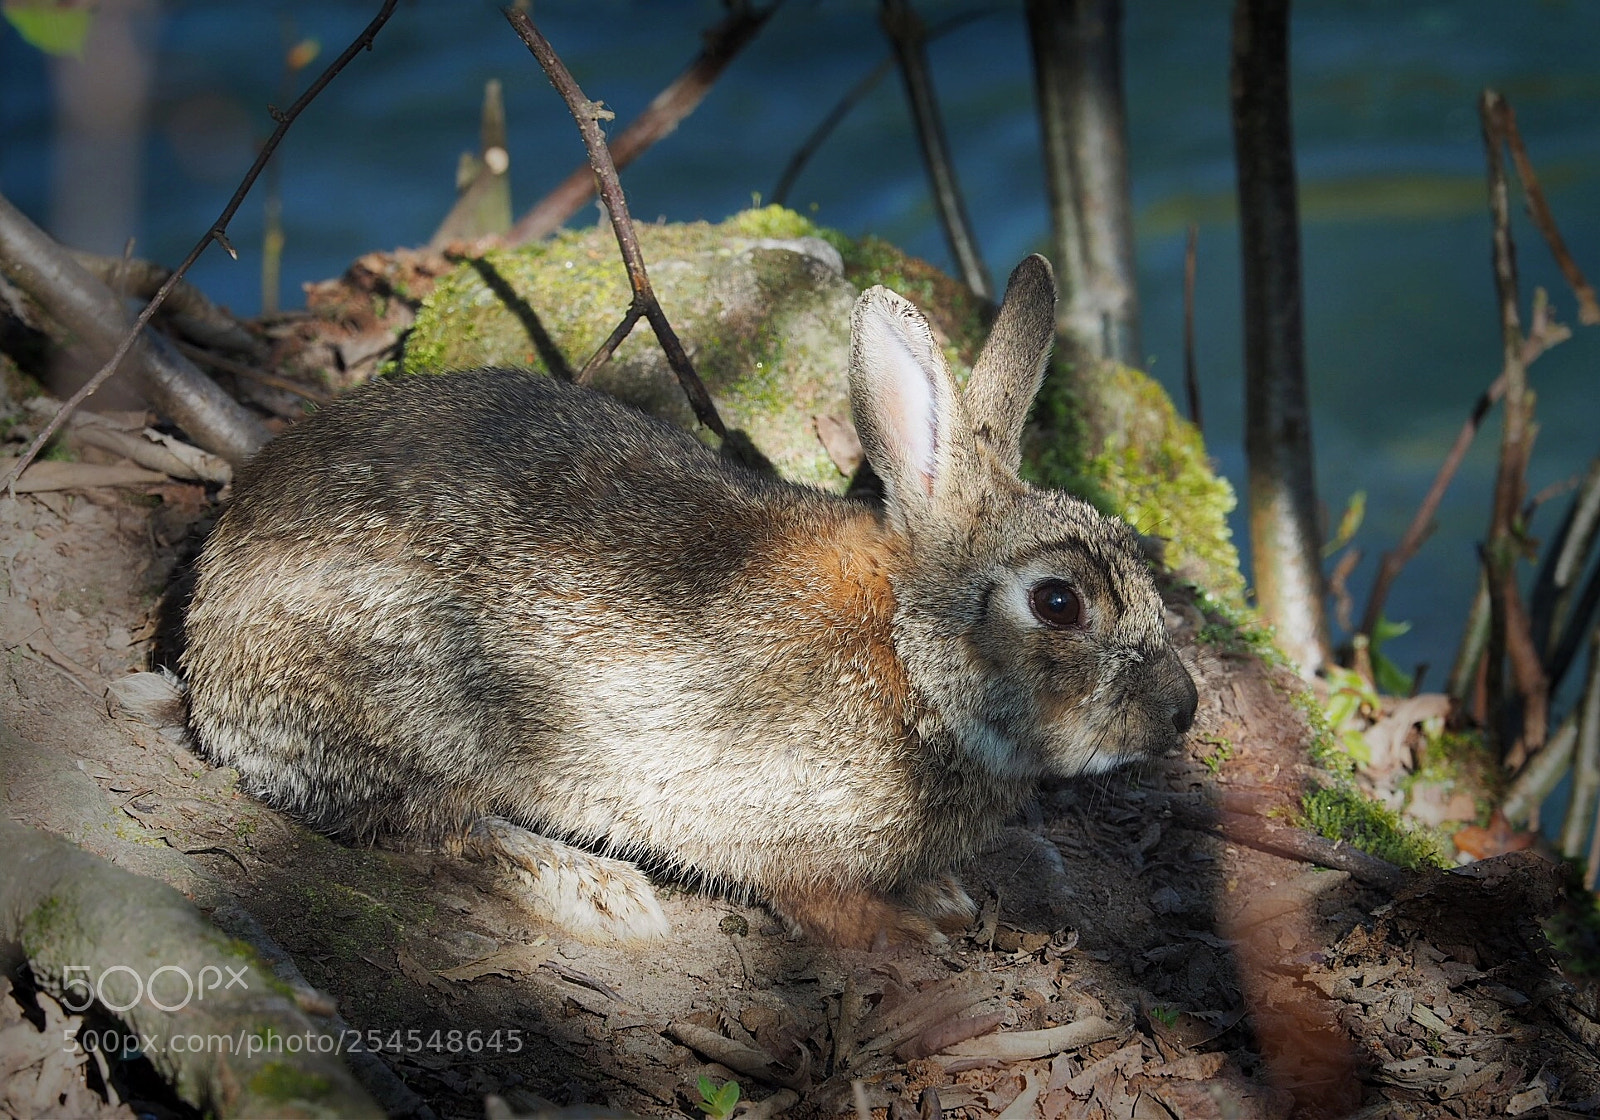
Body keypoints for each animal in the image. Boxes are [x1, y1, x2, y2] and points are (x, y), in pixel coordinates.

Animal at [175, 255, 1198, 949]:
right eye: (1058, 603)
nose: (1180, 710)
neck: (910, 651)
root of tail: (209, 623)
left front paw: (942, 896)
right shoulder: (785, 830)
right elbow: (817, 900)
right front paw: (909, 929)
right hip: (413, 701)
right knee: (430, 826)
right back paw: (593, 888)